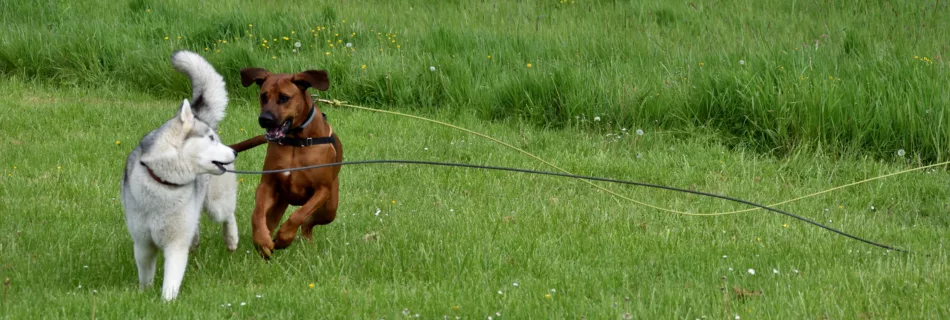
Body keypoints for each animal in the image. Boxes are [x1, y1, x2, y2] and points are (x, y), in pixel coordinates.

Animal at [121, 50, 240, 302]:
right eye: (210, 139)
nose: (234, 151)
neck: (163, 182)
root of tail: (197, 113)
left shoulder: (175, 245)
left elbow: (171, 281)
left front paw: (166, 302)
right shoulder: (143, 242)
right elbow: (145, 275)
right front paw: (144, 295)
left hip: (216, 204)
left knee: (227, 214)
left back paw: (231, 238)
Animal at [230, 68, 342, 260]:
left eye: (284, 98)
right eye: (263, 96)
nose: (264, 119)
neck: (295, 141)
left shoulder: (322, 190)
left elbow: (299, 215)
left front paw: (284, 237)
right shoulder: (267, 185)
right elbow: (257, 214)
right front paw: (263, 241)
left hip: (329, 209)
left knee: (308, 222)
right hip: (279, 203)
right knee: (270, 221)